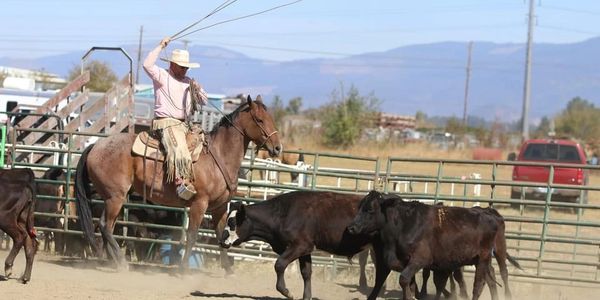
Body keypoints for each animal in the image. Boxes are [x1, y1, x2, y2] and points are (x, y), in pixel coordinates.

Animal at [75, 95, 282, 268]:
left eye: (271, 118)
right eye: (259, 120)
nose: (278, 148)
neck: (219, 156)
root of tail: (96, 145)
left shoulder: (220, 207)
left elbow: (222, 235)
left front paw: (227, 270)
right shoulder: (199, 204)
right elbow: (191, 236)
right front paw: (183, 269)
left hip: (114, 198)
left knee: (107, 228)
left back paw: (113, 261)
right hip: (115, 197)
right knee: (105, 226)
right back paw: (120, 261)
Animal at [219, 191, 380, 300]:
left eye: (232, 222)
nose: (221, 241)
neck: (282, 213)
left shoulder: (299, 246)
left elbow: (279, 264)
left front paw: (287, 292)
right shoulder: (306, 250)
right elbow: (306, 273)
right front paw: (306, 296)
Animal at [350, 192, 516, 300]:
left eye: (370, 210)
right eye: (359, 208)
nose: (351, 228)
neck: (404, 225)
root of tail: (489, 214)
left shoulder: (419, 260)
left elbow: (404, 279)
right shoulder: (404, 262)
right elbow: (411, 284)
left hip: (484, 257)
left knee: (479, 285)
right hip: (480, 260)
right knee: (490, 280)